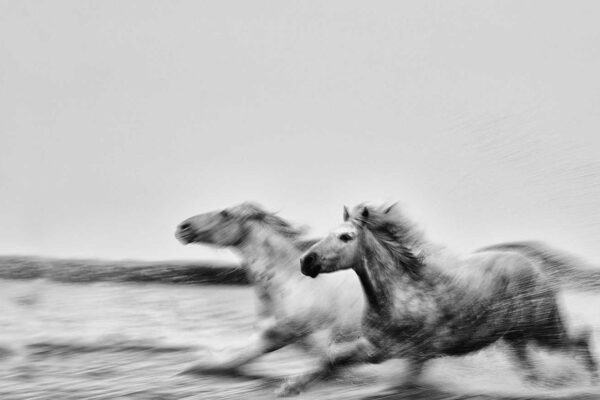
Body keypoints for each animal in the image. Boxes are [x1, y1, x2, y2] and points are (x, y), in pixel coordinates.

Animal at [176, 202, 364, 396]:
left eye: (225, 214)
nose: (183, 227)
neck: (294, 284)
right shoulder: (271, 335)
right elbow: (223, 361)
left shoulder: (321, 337)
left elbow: (327, 364)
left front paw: (290, 388)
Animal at [300, 203, 596, 394]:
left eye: (345, 236)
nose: (306, 261)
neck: (398, 296)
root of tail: (531, 263)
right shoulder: (376, 349)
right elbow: (330, 362)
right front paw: (293, 387)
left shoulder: (416, 356)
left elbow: (403, 387)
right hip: (517, 339)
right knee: (534, 373)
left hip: (544, 329)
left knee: (580, 339)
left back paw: (591, 378)